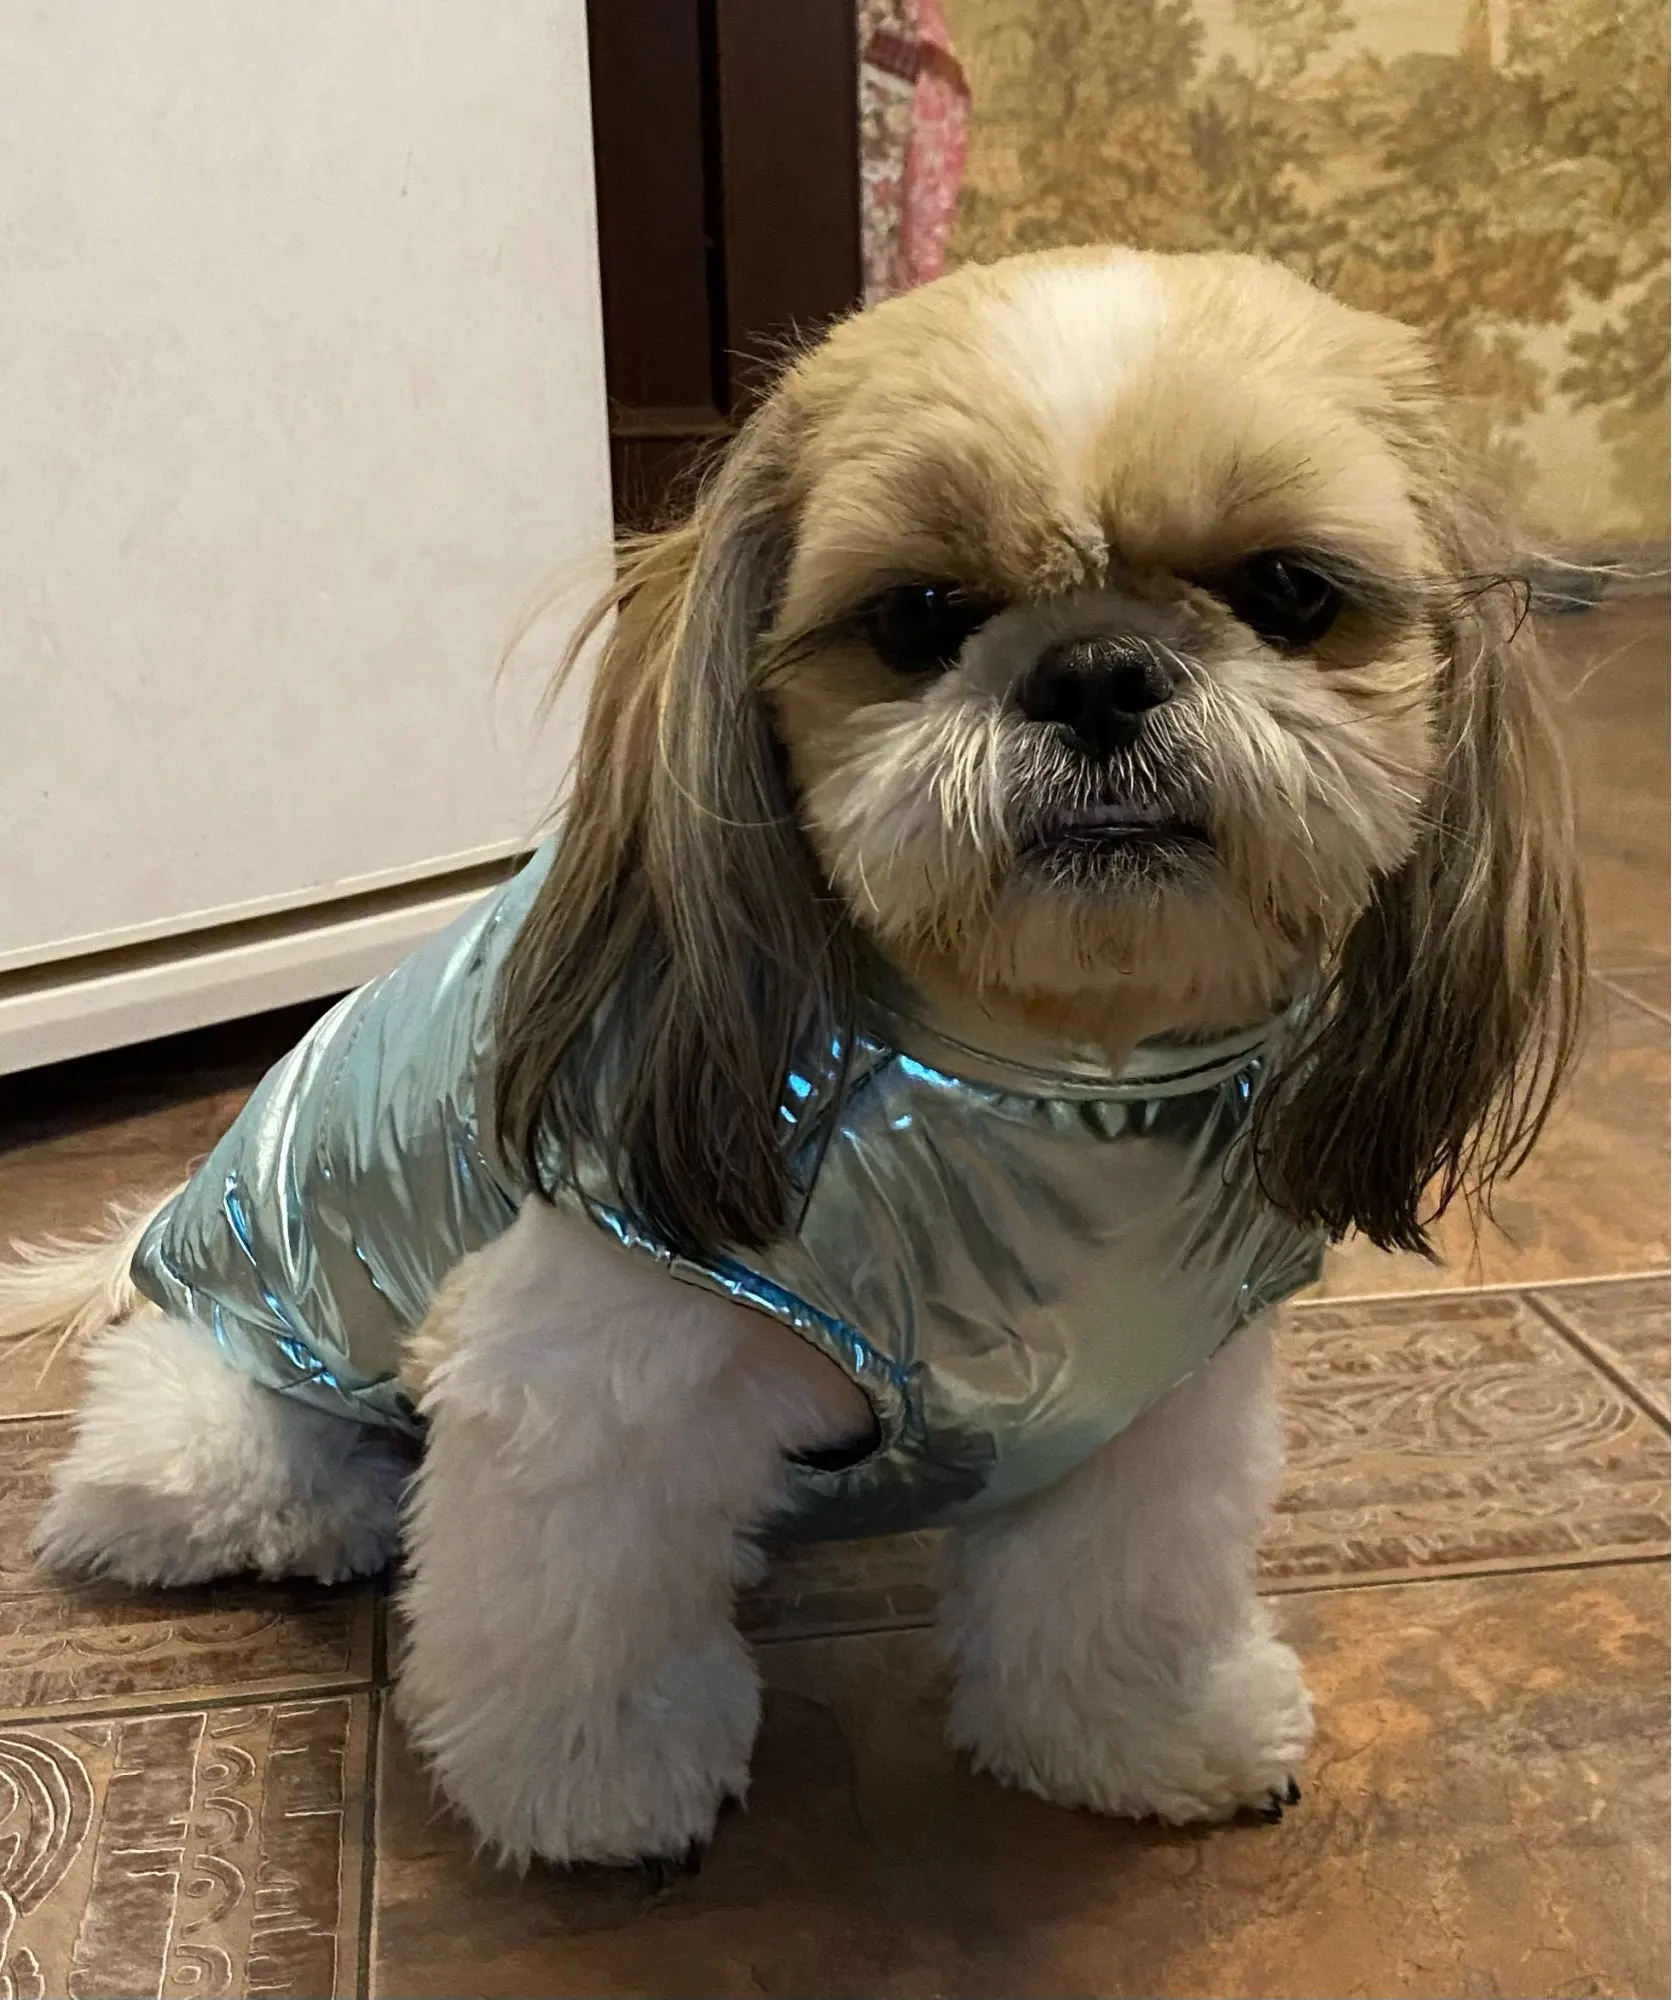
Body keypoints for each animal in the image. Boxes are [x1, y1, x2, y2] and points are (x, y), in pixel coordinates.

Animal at [1, 246, 1584, 1872]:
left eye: (1284, 591)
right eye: (922, 613)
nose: (1094, 669)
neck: (1048, 1075)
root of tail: (163, 1224)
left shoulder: (1141, 1398)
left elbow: (1116, 1594)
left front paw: (1140, 1736)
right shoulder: (596, 1379)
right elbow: (582, 1621)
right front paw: (599, 1791)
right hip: (226, 1405)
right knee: (187, 1467)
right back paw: (318, 1506)